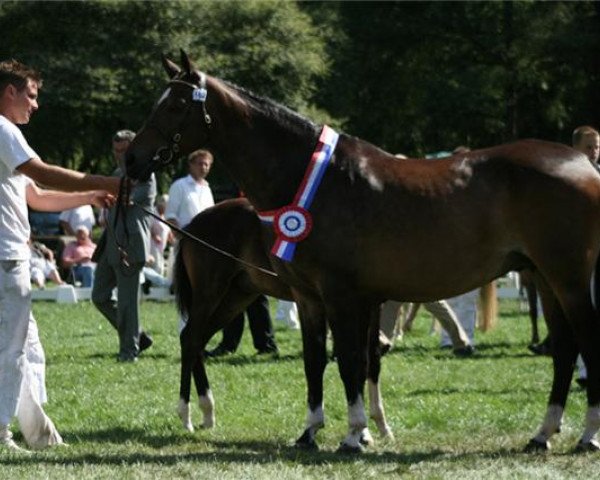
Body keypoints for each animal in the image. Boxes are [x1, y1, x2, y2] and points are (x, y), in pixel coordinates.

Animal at [124, 50, 600, 452]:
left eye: (175, 105)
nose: (131, 159)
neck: (315, 178)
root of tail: (583, 165)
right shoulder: (312, 298)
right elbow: (318, 361)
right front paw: (311, 431)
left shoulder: (343, 296)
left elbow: (351, 362)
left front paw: (356, 435)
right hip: (544, 279)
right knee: (564, 349)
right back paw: (542, 434)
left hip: (568, 280)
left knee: (583, 341)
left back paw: (586, 436)